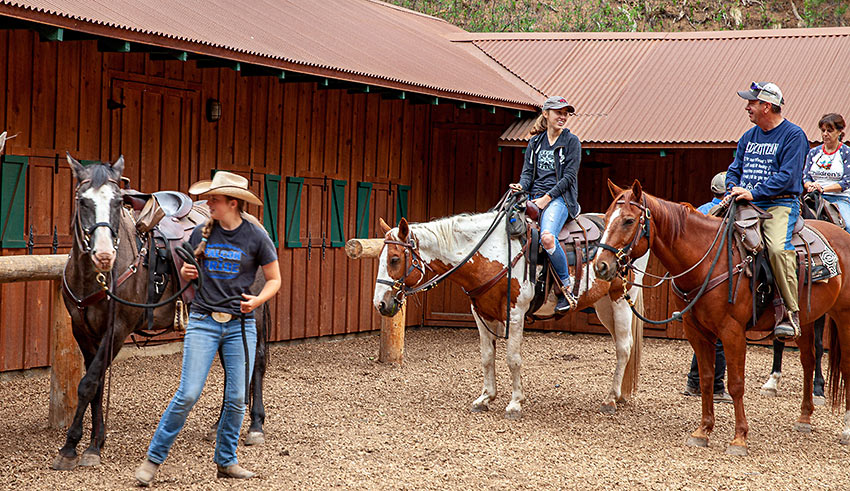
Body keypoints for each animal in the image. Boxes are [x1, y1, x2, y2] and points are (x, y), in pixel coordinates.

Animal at [372, 211, 644, 418]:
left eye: (394, 259)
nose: (380, 304)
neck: (493, 254)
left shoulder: (515, 314)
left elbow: (513, 359)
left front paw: (514, 403)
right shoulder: (481, 314)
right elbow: (487, 357)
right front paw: (485, 398)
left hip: (620, 298)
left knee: (623, 347)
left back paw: (610, 400)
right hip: (603, 306)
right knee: (621, 345)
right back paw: (619, 395)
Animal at [592, 181, 850, 458]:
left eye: (629, 220)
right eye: (605, 218)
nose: (600, 266)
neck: (707, 261)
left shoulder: (732, 332)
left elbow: (736, 384)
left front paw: (739, 439)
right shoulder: (696, 331)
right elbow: (706, 379)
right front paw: (702, 431)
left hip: (844, 317)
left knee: (845, 366)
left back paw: (846, 430)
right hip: (806, 319)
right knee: (809, 360)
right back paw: (804, 418)